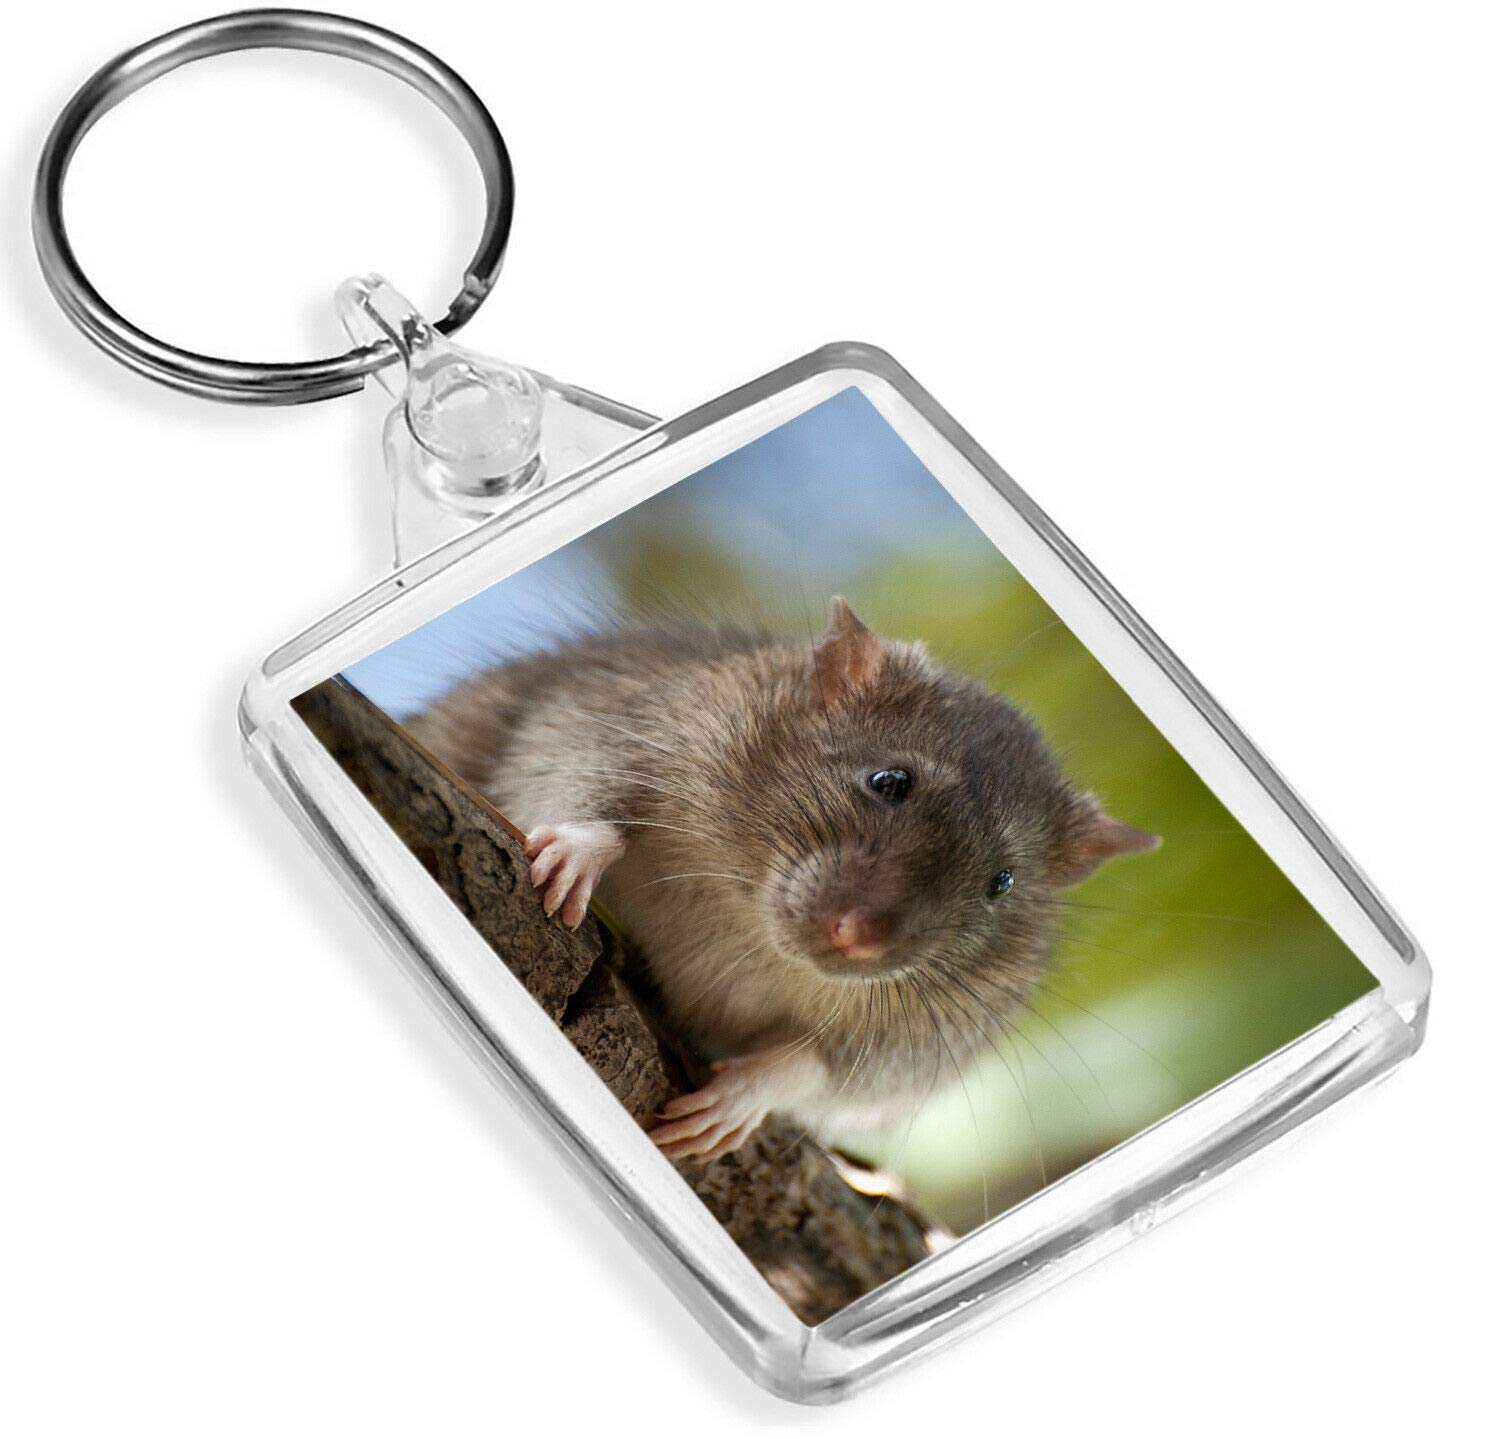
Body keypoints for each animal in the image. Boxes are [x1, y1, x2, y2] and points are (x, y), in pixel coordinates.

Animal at [406, 598, 1159, 1163]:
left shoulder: (928, 1038)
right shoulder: (628, 728)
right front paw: (580, 850)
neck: (751, 927)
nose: (857, 938)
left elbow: (834, 1068)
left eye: (1002, 883)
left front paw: (744, 1094)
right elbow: (579, 784)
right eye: (889, 781)